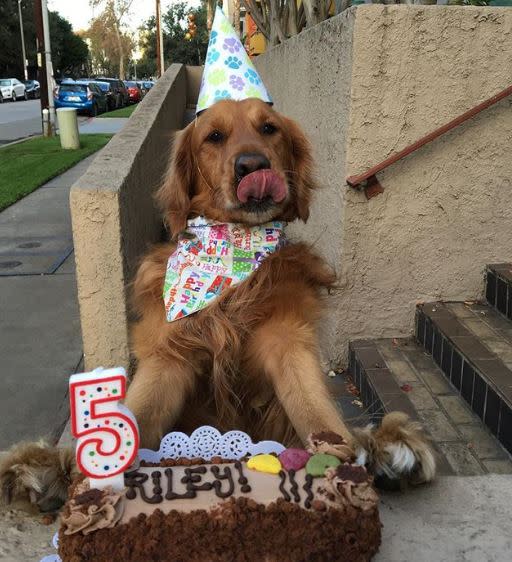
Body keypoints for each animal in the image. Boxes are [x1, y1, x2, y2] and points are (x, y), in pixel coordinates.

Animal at [0, 98, 434, 510]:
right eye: (213, 136)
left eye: (269, 129)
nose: (253, 165)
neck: (234, 259)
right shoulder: (170, 352)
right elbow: (139, 411)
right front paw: (79, 473)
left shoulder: (288, 342)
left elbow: (315, 410)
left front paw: (347, 459)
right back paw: (41, 468)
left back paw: (388, 447)